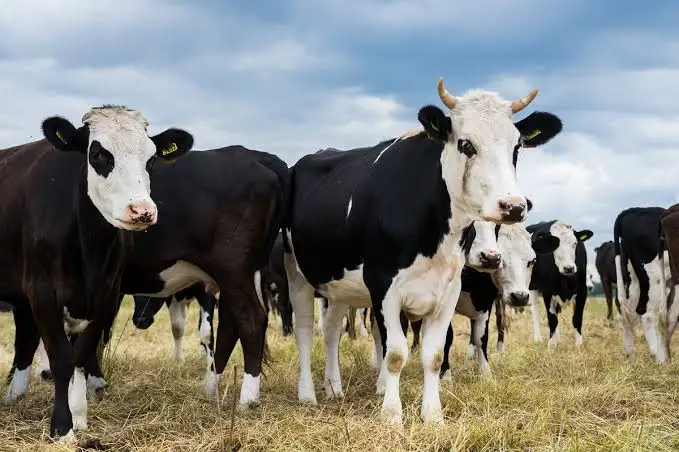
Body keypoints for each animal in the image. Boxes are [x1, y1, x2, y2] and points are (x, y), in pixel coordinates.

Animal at [0, 105, 194, 439]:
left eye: (151, 158)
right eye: (99, 154)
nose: (142, 210)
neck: (89, 249)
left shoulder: (107, 293)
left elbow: (83, 352)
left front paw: (79, 415)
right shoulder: (42, 291)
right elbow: (62, 357)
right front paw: (62, 427)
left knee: (25, 339)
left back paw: (14, 394)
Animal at [439, 220, 560, 379]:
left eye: (532, 261)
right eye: (500, 261)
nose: (520, 297)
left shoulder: (485, 302)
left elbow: (481, 337)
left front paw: (485, 373)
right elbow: (447, 337)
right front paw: (445, 374)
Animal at [613, 207, 671, 363]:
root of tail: (635, 209)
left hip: (632, 278)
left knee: (627, 311)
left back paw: (631, 355)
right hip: (655, 276)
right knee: (647, 314)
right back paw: (659, 356)